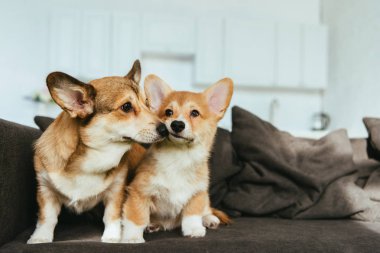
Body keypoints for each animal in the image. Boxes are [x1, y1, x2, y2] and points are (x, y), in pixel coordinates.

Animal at [27, 60, 168, 244]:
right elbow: (47, 217)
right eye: (126, 107)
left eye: (147, 103)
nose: (166, 129)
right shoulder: (45, 189)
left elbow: (112, 216)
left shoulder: (116, 191)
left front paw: (111, 237)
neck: (94, 157)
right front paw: (40, 237)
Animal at [123, 74, 233, 242]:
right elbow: (137, 217)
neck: (180, 157)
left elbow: (192, 215)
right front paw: (133, 237)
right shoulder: (139, 192)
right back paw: (152, 225)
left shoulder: (197, 194)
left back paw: (209, 219)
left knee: (206, 209)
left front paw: (194, 229)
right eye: (168, 112)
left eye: (195, 113)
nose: (177, 124)